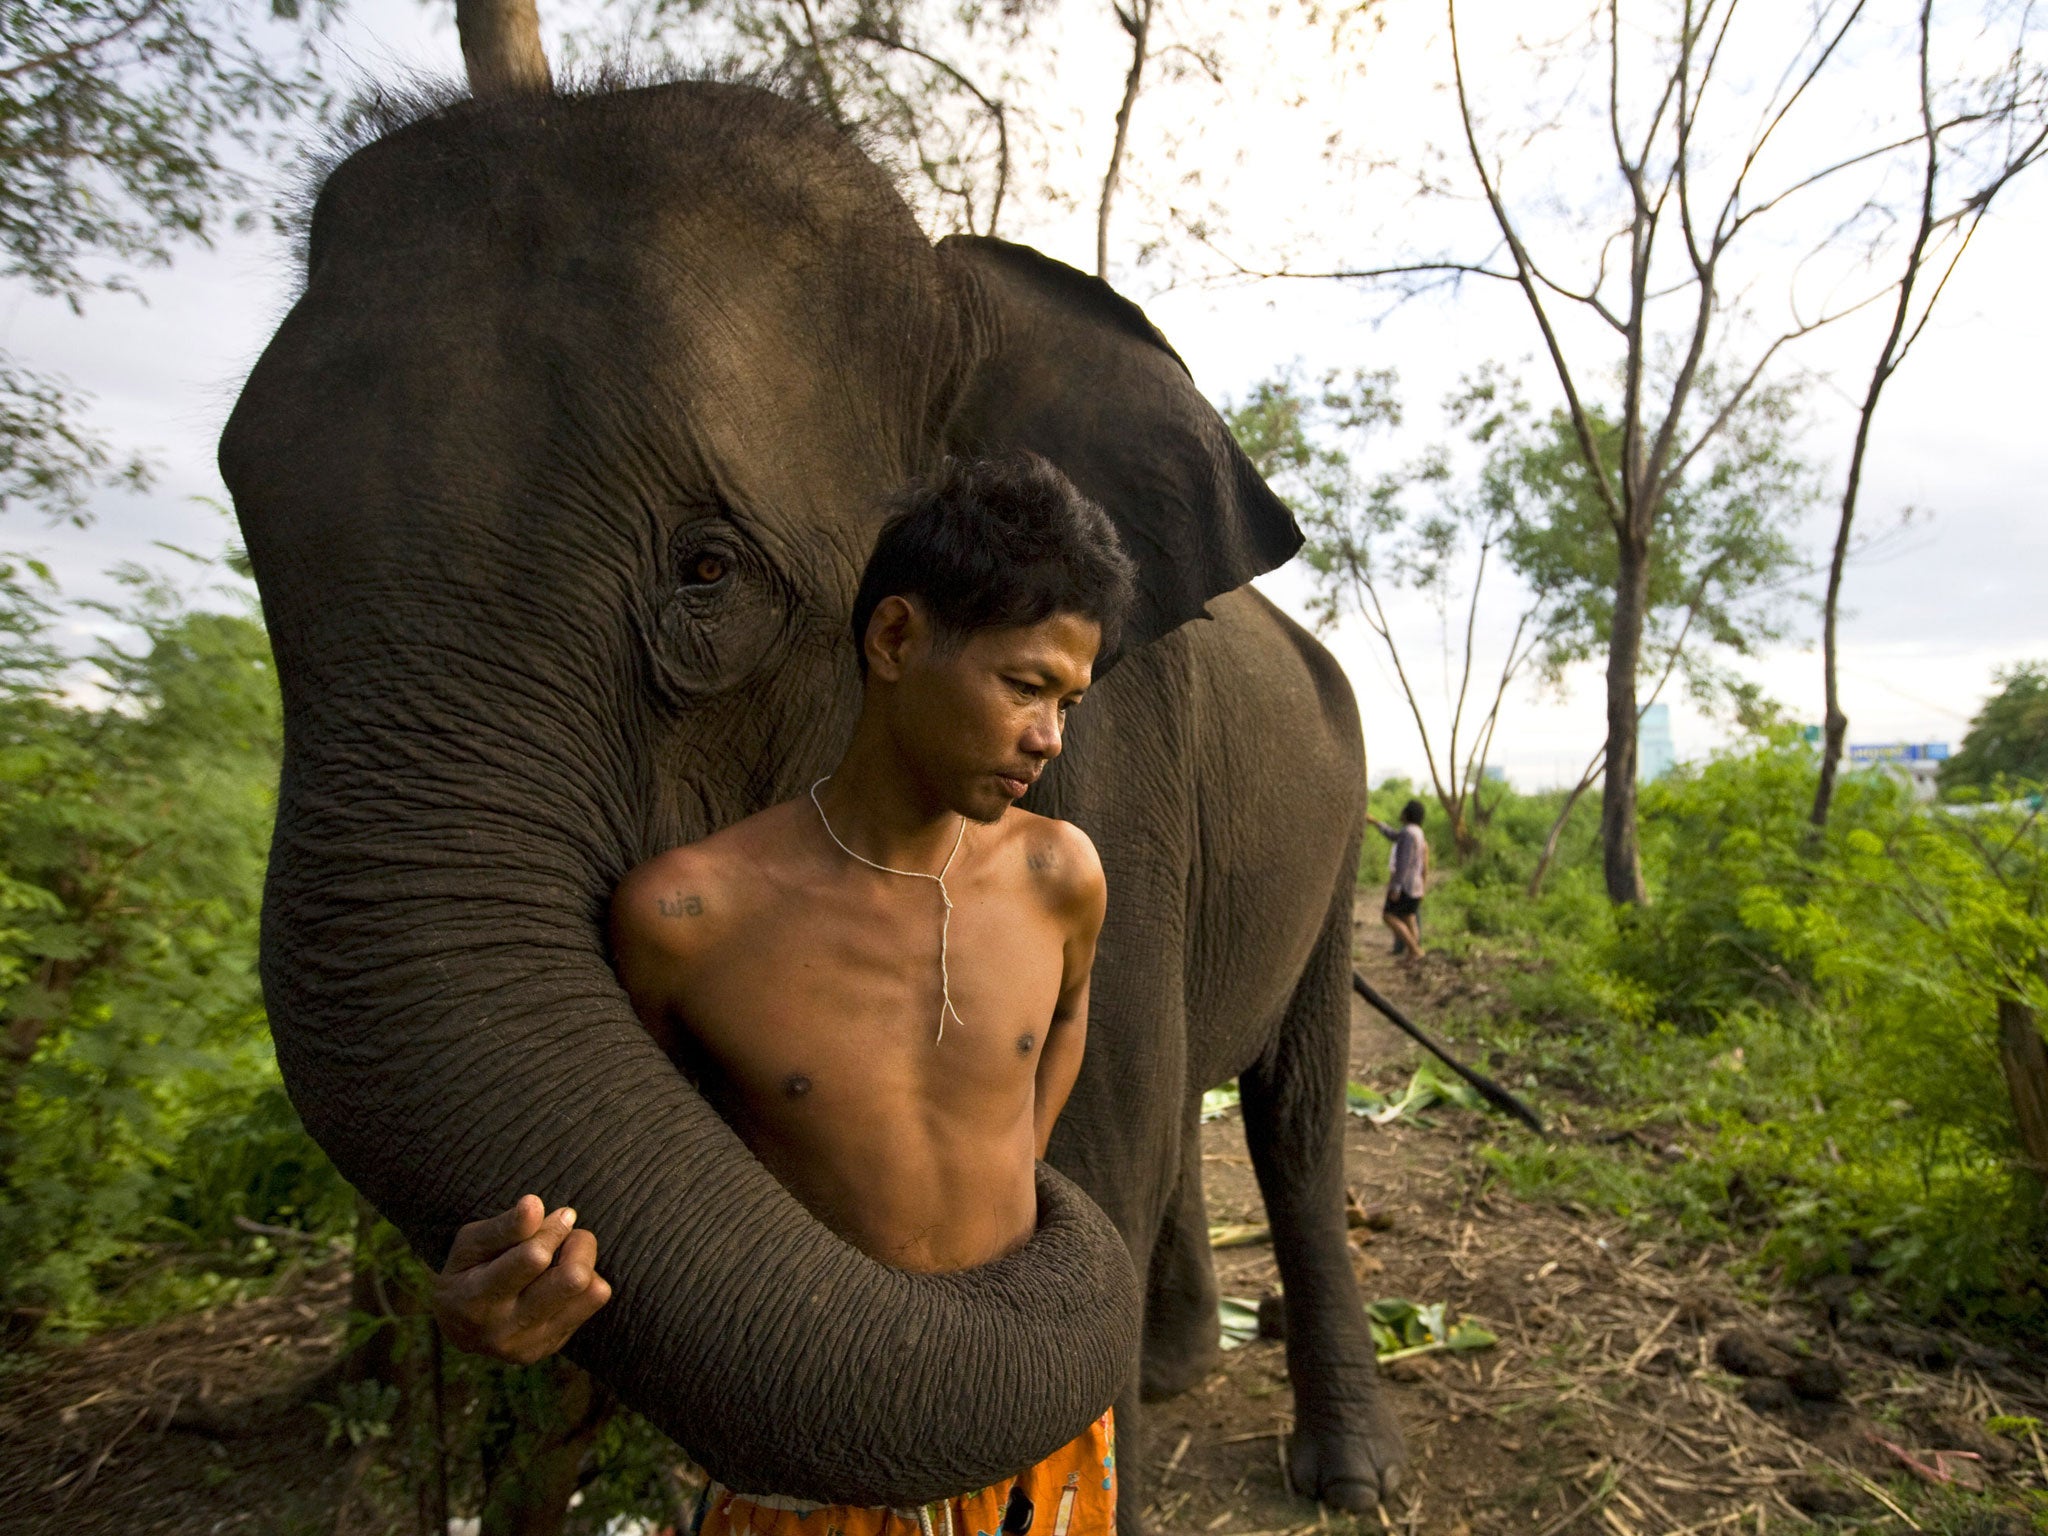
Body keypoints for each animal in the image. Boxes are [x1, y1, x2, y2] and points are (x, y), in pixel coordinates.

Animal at [224, 75, 1409, 1531]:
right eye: (256, 547)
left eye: (708, 568)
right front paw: (517, 1292)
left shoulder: (1116, 789)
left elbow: (1110, 1139)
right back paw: (1176, 1365)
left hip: (1346, 827)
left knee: (1290, 1116)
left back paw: (1346, 1472)